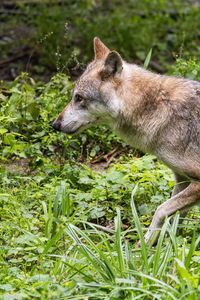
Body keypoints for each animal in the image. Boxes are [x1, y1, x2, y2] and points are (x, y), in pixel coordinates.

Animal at [52, 37, 200, 244]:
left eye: (79, 98)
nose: (55, 124)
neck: (158, 108)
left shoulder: (196, 183)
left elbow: (161, 210)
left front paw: (144, 244)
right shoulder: (182, 179)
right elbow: (175, 219)